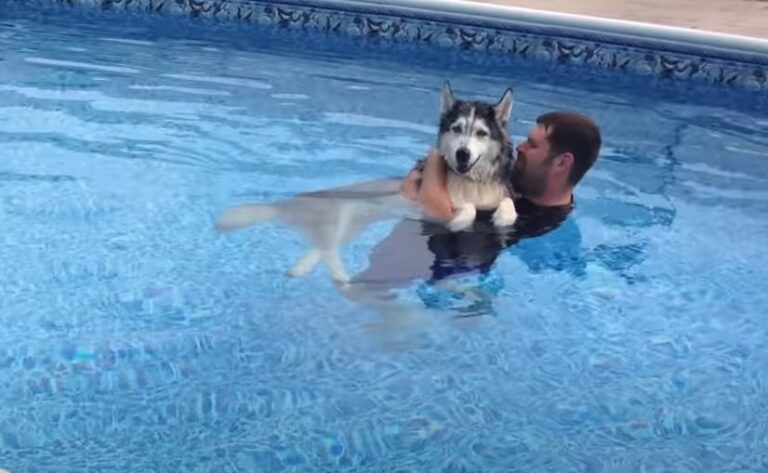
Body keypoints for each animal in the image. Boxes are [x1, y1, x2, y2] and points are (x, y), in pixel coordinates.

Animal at [436, 83, 520, 234]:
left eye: (481, 133)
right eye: (456, 128)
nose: (462, 153)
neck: (474, 181)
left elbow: (508, 200)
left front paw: (505, 216)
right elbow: (468, 206)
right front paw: (460, 220)